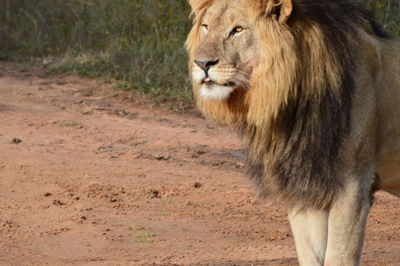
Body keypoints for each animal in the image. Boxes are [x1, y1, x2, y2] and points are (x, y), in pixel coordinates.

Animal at [187, 0, 400, 264]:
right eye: (206, 27)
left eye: (237, 29)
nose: (201, 64)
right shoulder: (305, 186)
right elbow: (310, 255)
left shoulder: (354, 186)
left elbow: (337, 256)